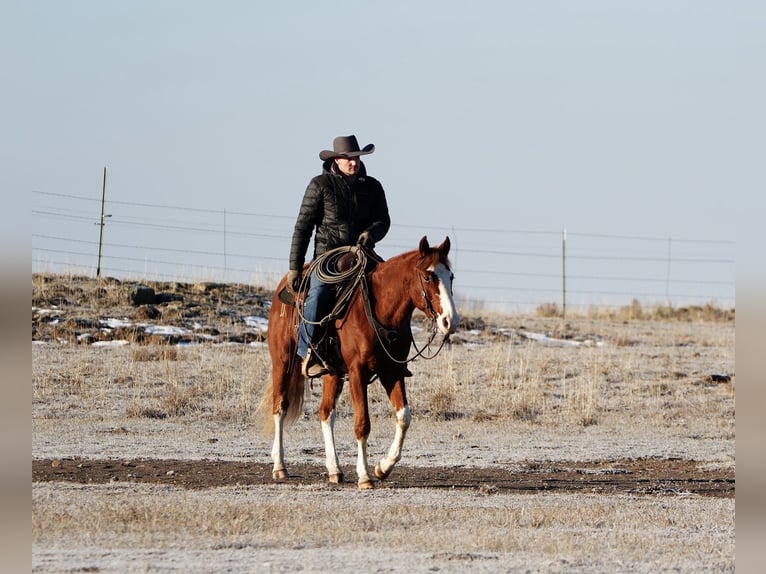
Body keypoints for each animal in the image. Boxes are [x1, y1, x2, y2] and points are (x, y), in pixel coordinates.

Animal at [262, 236, 459, 489]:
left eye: (450, 277)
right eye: (428, 277)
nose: (450, 321)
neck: (380, 311)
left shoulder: (392, 371)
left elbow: (403, 417)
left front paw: (383, 467)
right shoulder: (358, 373)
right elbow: (362, 424)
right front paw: (365, 475)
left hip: (332, 374)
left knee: (326, 412)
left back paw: (334, 469)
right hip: (283, 362)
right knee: (280, 407)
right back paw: (280, 466)